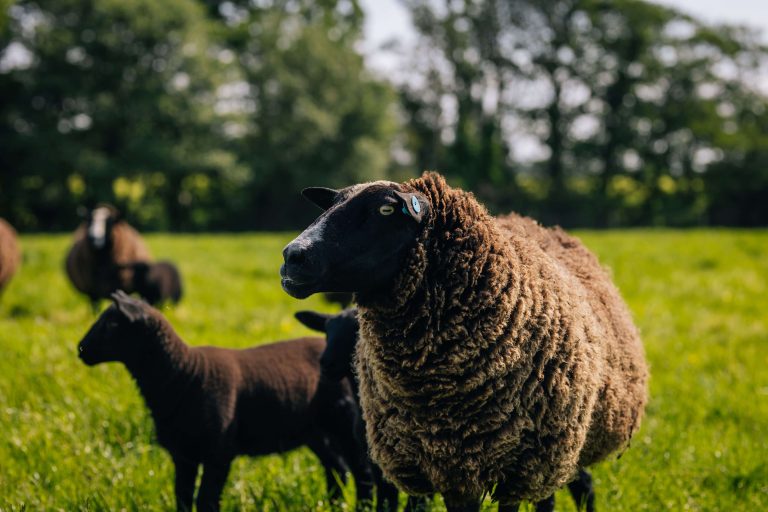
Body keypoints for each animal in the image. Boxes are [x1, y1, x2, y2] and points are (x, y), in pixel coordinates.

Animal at [77, 291, 374, 512]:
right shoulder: (182, 455)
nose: (80, 349)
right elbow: (182, 498)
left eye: (112, 325)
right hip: (315, 431)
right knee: (336, 469)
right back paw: (333, 505)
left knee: (361, 473)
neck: (183, 374)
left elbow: (206, 501)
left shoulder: (218, 452)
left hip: (345, 425)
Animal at [295, 308, 430, 512]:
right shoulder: (376, 460)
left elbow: (418, 502)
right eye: (326, 331)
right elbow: (385, 498)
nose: (326, 363)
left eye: (357, 329)